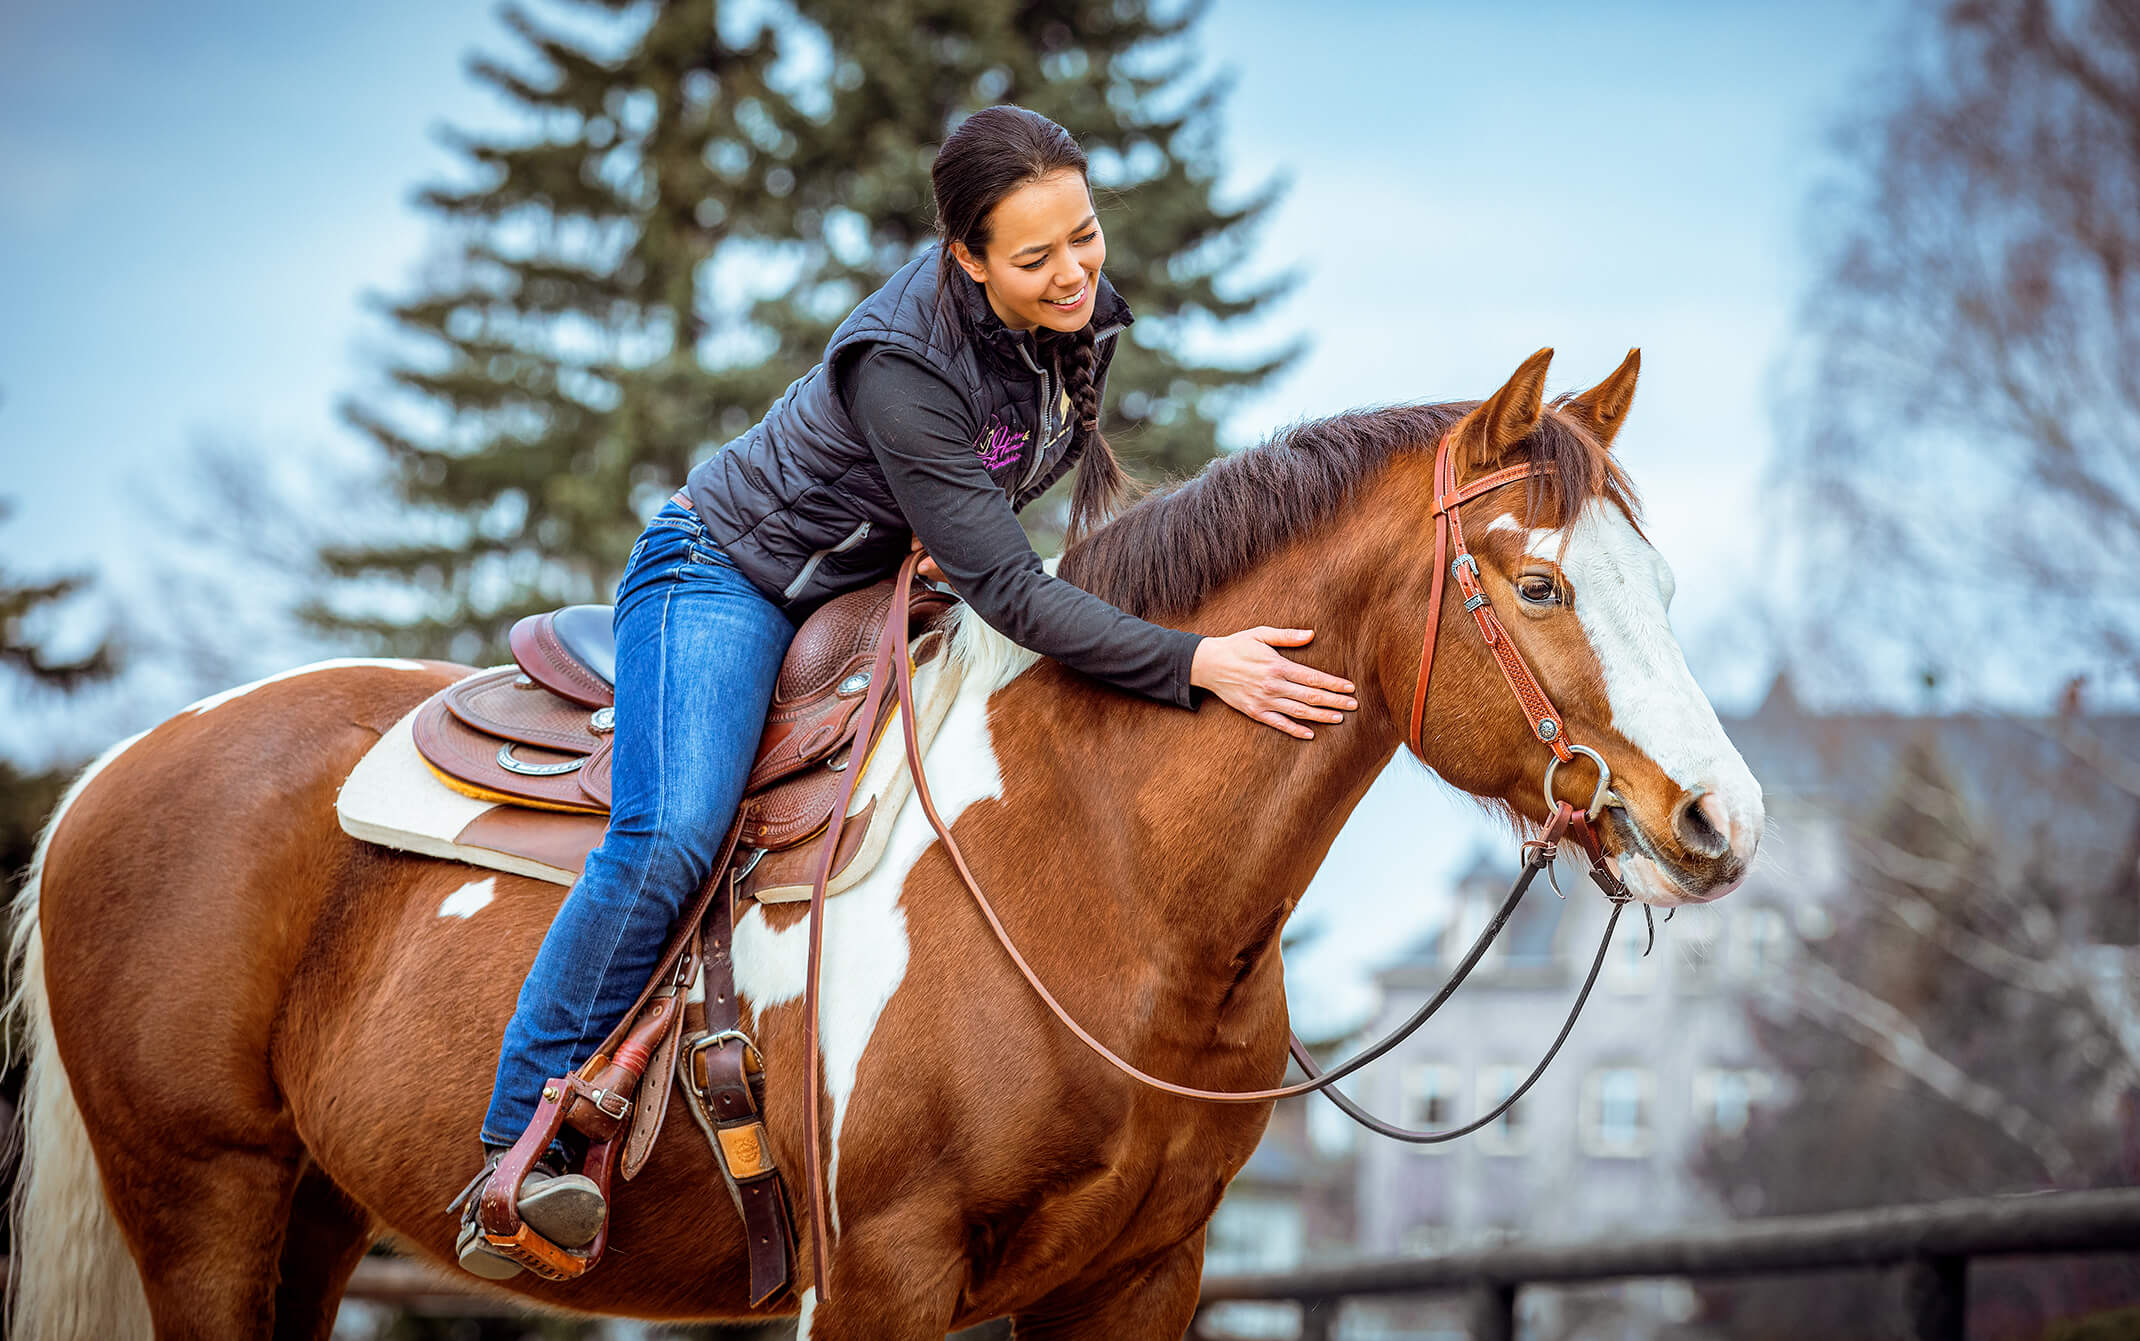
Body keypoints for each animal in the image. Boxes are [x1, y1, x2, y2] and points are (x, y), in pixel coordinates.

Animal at [8, 355, 1763, 1341]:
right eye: (1538, 584)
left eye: (1666, 587)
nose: (1719, 823)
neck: (1097, 868)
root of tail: (116, 773)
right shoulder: (878, 1278)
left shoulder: (1141, 1281)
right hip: (204, 1198)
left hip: (306, 1212)